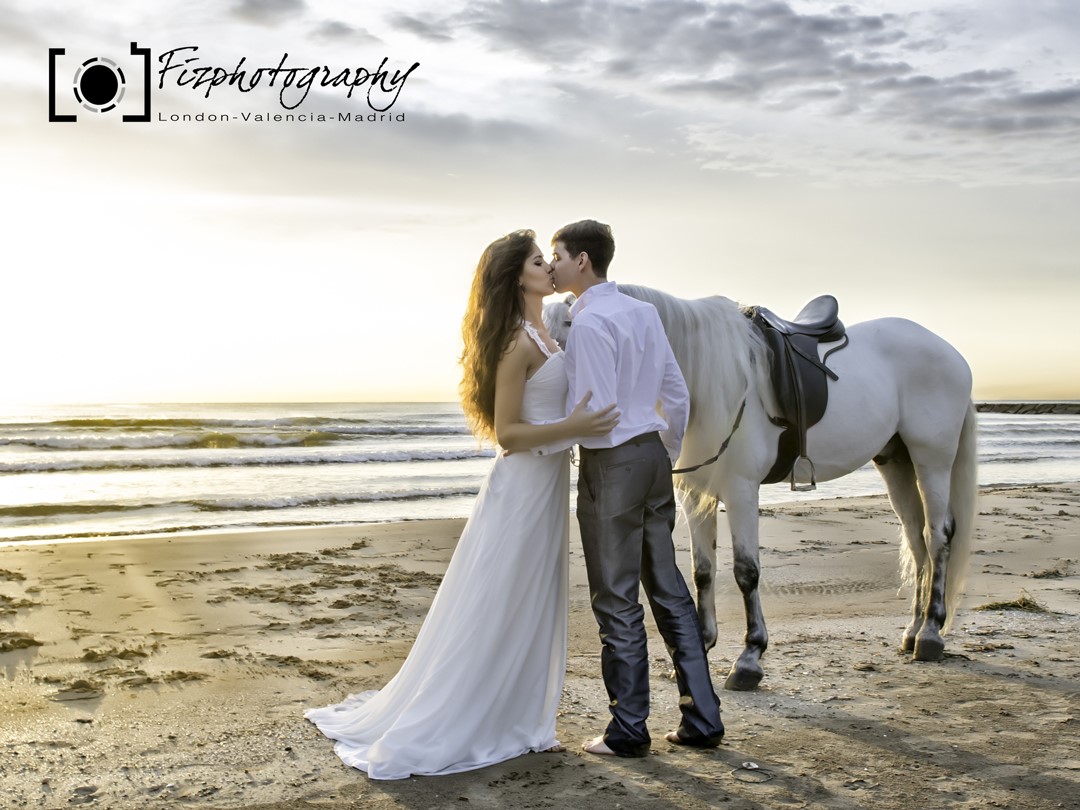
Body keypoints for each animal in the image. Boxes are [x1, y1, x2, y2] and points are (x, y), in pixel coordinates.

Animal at [544, 285, 976, 691]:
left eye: (571, 324)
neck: (705, 374)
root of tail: (949, 351)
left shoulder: (740, 491)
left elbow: (746, 571)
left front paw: (750, 658)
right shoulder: (694, 493)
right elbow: (703, 571)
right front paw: (702, 645)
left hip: (932, 460)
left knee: (937, 537)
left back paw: (931, 634)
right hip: (895, 462)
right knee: (916, 541)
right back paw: (912, 631)